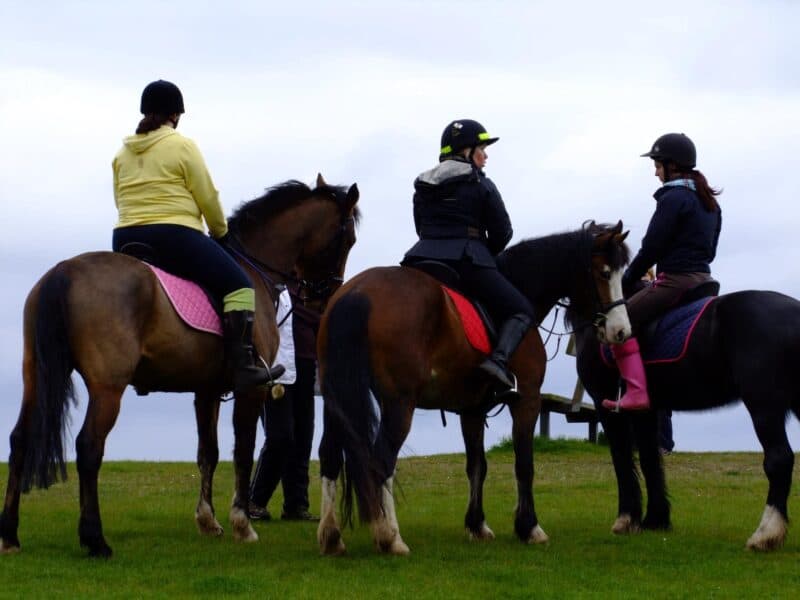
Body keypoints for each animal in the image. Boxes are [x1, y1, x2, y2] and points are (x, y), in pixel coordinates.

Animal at [0, 173, 360, 556]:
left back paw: (10, 535)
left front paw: (208, 520)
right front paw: (242, 523)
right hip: (108, 388)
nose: (323, 300)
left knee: (20, 440)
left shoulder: (207, 391)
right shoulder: (251, 390)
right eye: (348, 240)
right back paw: (95, 539)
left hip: (35, 377)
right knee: (89, 448)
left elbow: (208, 453)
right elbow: (243, 451)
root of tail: (63, 270)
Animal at [316, 223, 636, 556]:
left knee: (329, 455)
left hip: (337, 399)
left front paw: (477, 525)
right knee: (381, 460)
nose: (622, 331)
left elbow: (476, 466)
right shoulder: (528, 400)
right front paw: (529, 527)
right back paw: (390, 537)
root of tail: (358, 292)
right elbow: (524, 464)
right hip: (398, 403)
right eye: (605, 273)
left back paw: (331, 536)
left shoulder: (471, 410)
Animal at [576, 288, 800, 552]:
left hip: (763, 403)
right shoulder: (646, 411)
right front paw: (655, 519)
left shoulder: (606, 403)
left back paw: (765, 534)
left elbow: (622, 460)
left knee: (779, 459)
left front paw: (627, 519)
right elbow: (650, 460)